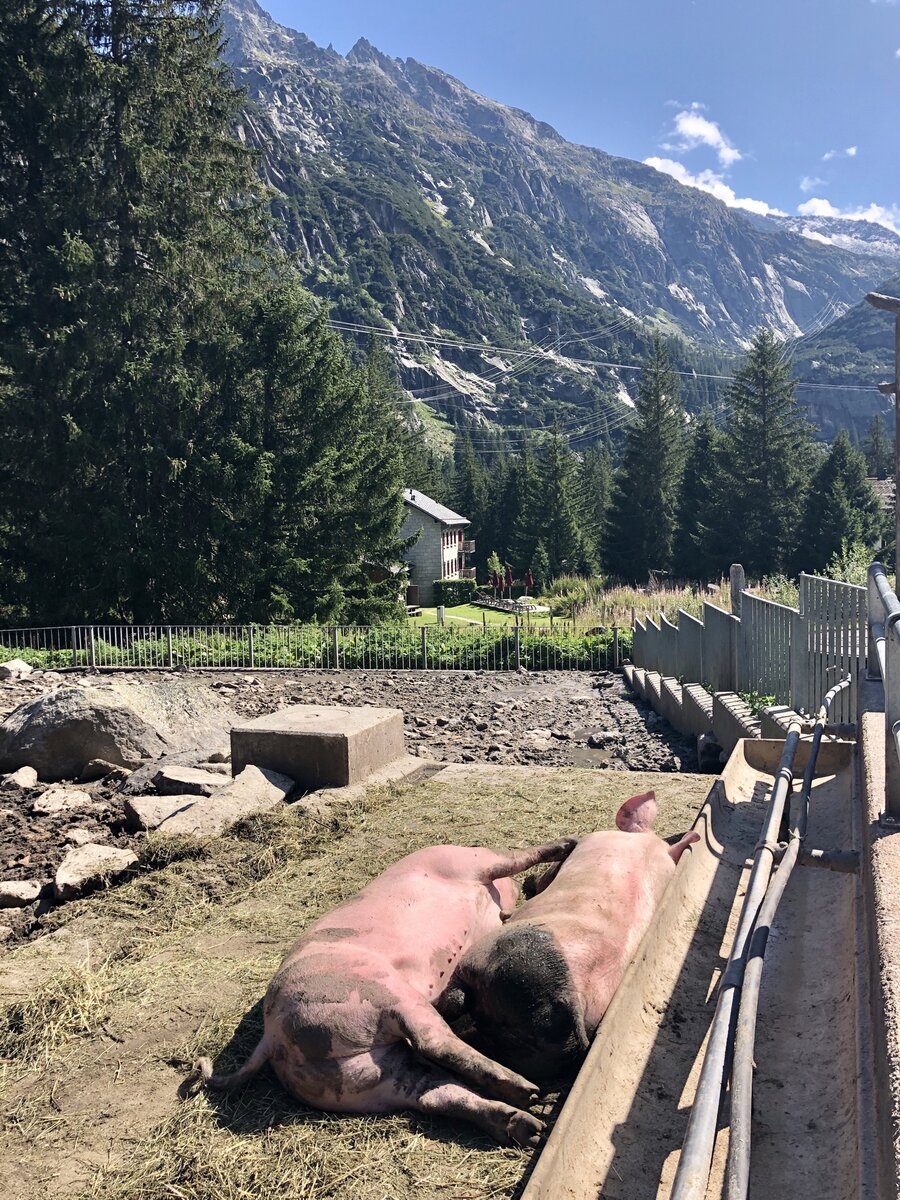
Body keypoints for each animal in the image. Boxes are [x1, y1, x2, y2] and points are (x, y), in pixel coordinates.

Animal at [196, 840, 578, 1147]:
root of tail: (272, 1037)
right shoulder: (470, 864)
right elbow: (515, 857)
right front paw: (567, 844)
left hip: (365, 1080)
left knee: (435, 1093)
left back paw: (529, 1127)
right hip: (380, 993)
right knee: (433, 1043)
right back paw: (528, 1092)